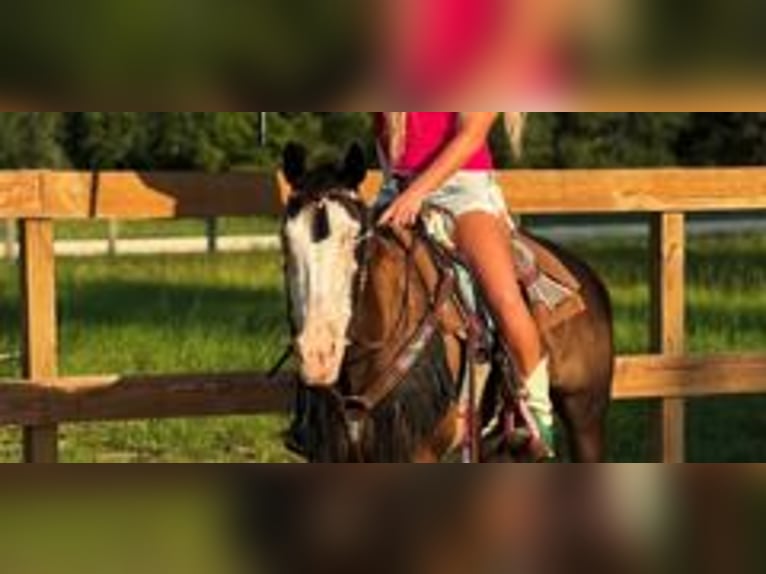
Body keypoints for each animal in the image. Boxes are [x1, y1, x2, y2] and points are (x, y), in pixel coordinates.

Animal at [279, 142, 614, 463]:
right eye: (286, 240)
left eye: (355, 239)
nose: (317, 354)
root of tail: (584, 275)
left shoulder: (418, 451)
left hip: (585, 416)